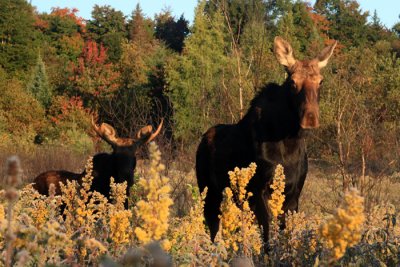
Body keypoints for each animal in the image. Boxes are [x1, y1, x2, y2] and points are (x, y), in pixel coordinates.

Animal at [197, 36, 338, 248]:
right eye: (292, 82)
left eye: (320, 81)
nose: (310, 118)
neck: (289, 143)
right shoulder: (258, 191)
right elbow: (268, 236)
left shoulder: (294, 194)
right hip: (208, 191)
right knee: (213, 228)